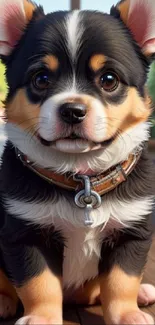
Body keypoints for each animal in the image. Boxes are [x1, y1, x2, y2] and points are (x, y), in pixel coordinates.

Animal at [0, 0, 155, 322]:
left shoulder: (132, 233)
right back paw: (2, 301)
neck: (81, 176)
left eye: (109, 80)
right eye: (41, 79)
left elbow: (122, 282)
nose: (72, 110)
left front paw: (127, 314)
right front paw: (41, 318)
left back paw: (144, 292)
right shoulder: (24, 234)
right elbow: (39, 284)